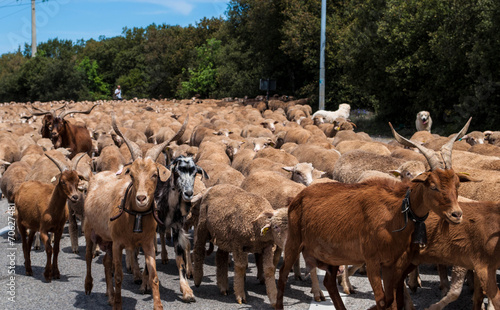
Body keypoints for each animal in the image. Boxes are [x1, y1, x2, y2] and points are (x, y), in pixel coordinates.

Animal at [15, 152, 86, 280]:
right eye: (62, 181)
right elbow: (49, 249)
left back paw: (29, 265)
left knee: (28, 243)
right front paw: (47, 274)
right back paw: (28, 270)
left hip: (33, 225)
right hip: (20, 221)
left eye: (77, 180)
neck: (51, 207)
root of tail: (23, 185)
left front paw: (56, 273)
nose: (75, 197)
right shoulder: (43, 229)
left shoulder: (59, 229)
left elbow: (56, 249)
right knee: (24, 244)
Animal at [276, 118, 474, 310]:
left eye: (457, 184)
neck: (394, 215)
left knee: (329, 281)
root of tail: (300, 195)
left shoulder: (391, 263)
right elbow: (381, 301)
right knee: (283, 274)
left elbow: (391, 300)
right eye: (433, 186)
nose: (456, 214)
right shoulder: (372, 261)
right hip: (294, 240)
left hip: (331, 252)